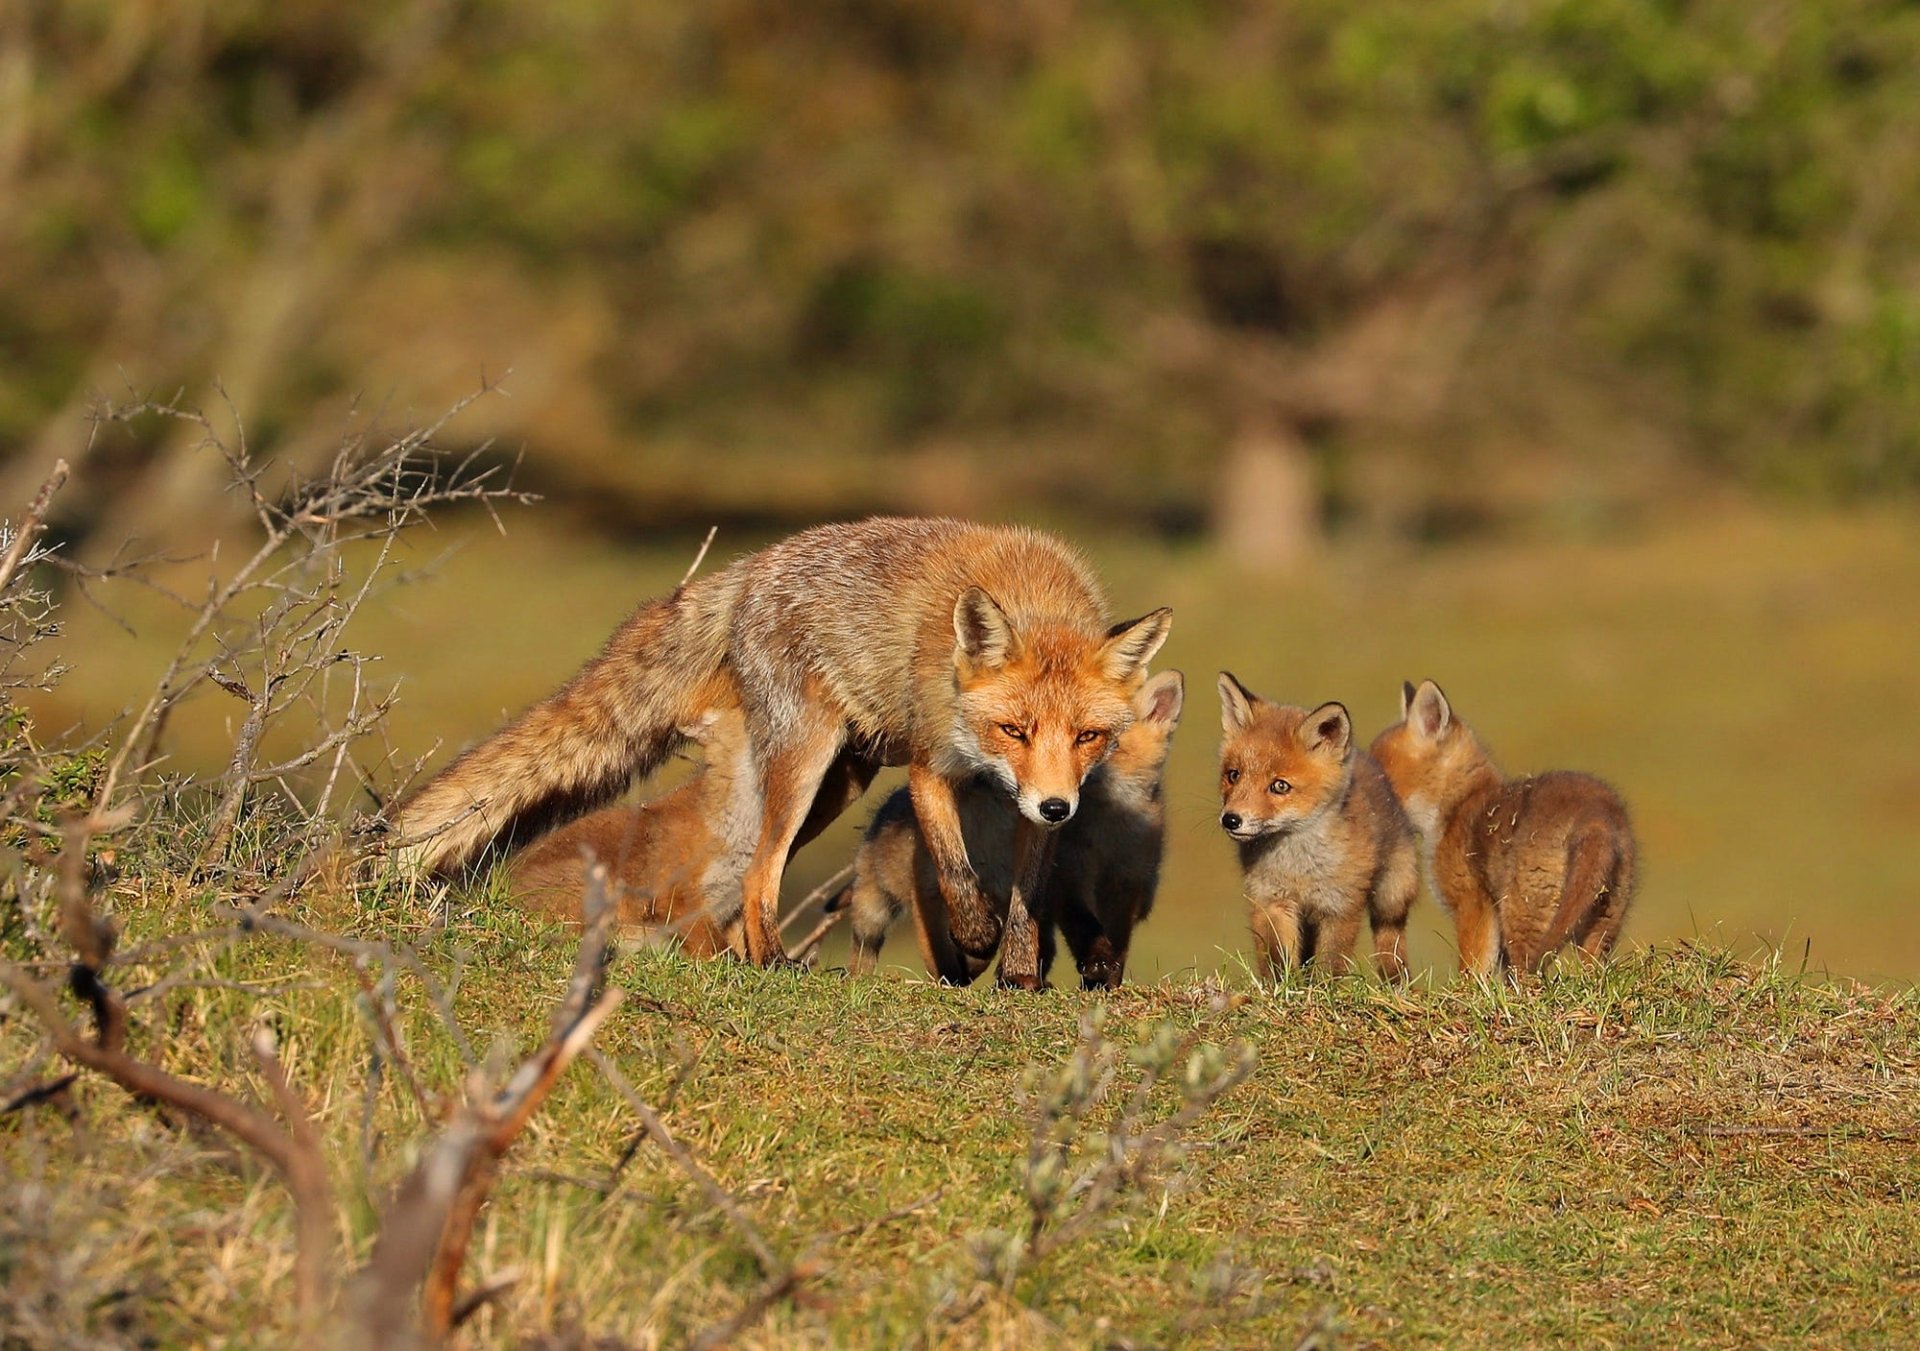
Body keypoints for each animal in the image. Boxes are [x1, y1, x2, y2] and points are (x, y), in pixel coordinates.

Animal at [837, 670, 1185, 988]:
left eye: (1092, 739)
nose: (1056, 800)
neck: (1104, 838)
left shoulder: (1127, 885)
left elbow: (1116, 942)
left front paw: (1105, 979)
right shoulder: (1068, 882)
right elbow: (1085, 928)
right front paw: (1096, 966)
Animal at [1216, 673, 1417, 981]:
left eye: (1280, 786)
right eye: (1233, 775)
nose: (1231, 819)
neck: (1298, 867)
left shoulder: (1340, 906)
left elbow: (1330, 964)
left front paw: (1323, 988)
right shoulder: (1271, 902)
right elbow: (1277, 959)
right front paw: (1282, 987)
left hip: (1391, 896)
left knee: (1390, 939)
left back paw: (1396, 981)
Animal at [1369, 679, 1637, 977]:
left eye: (1381, 777)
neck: (1457, 805)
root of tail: (1595, 815)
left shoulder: (1473, 905)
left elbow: (1472, 971)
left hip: (1522, 918)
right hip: (1600, 925)